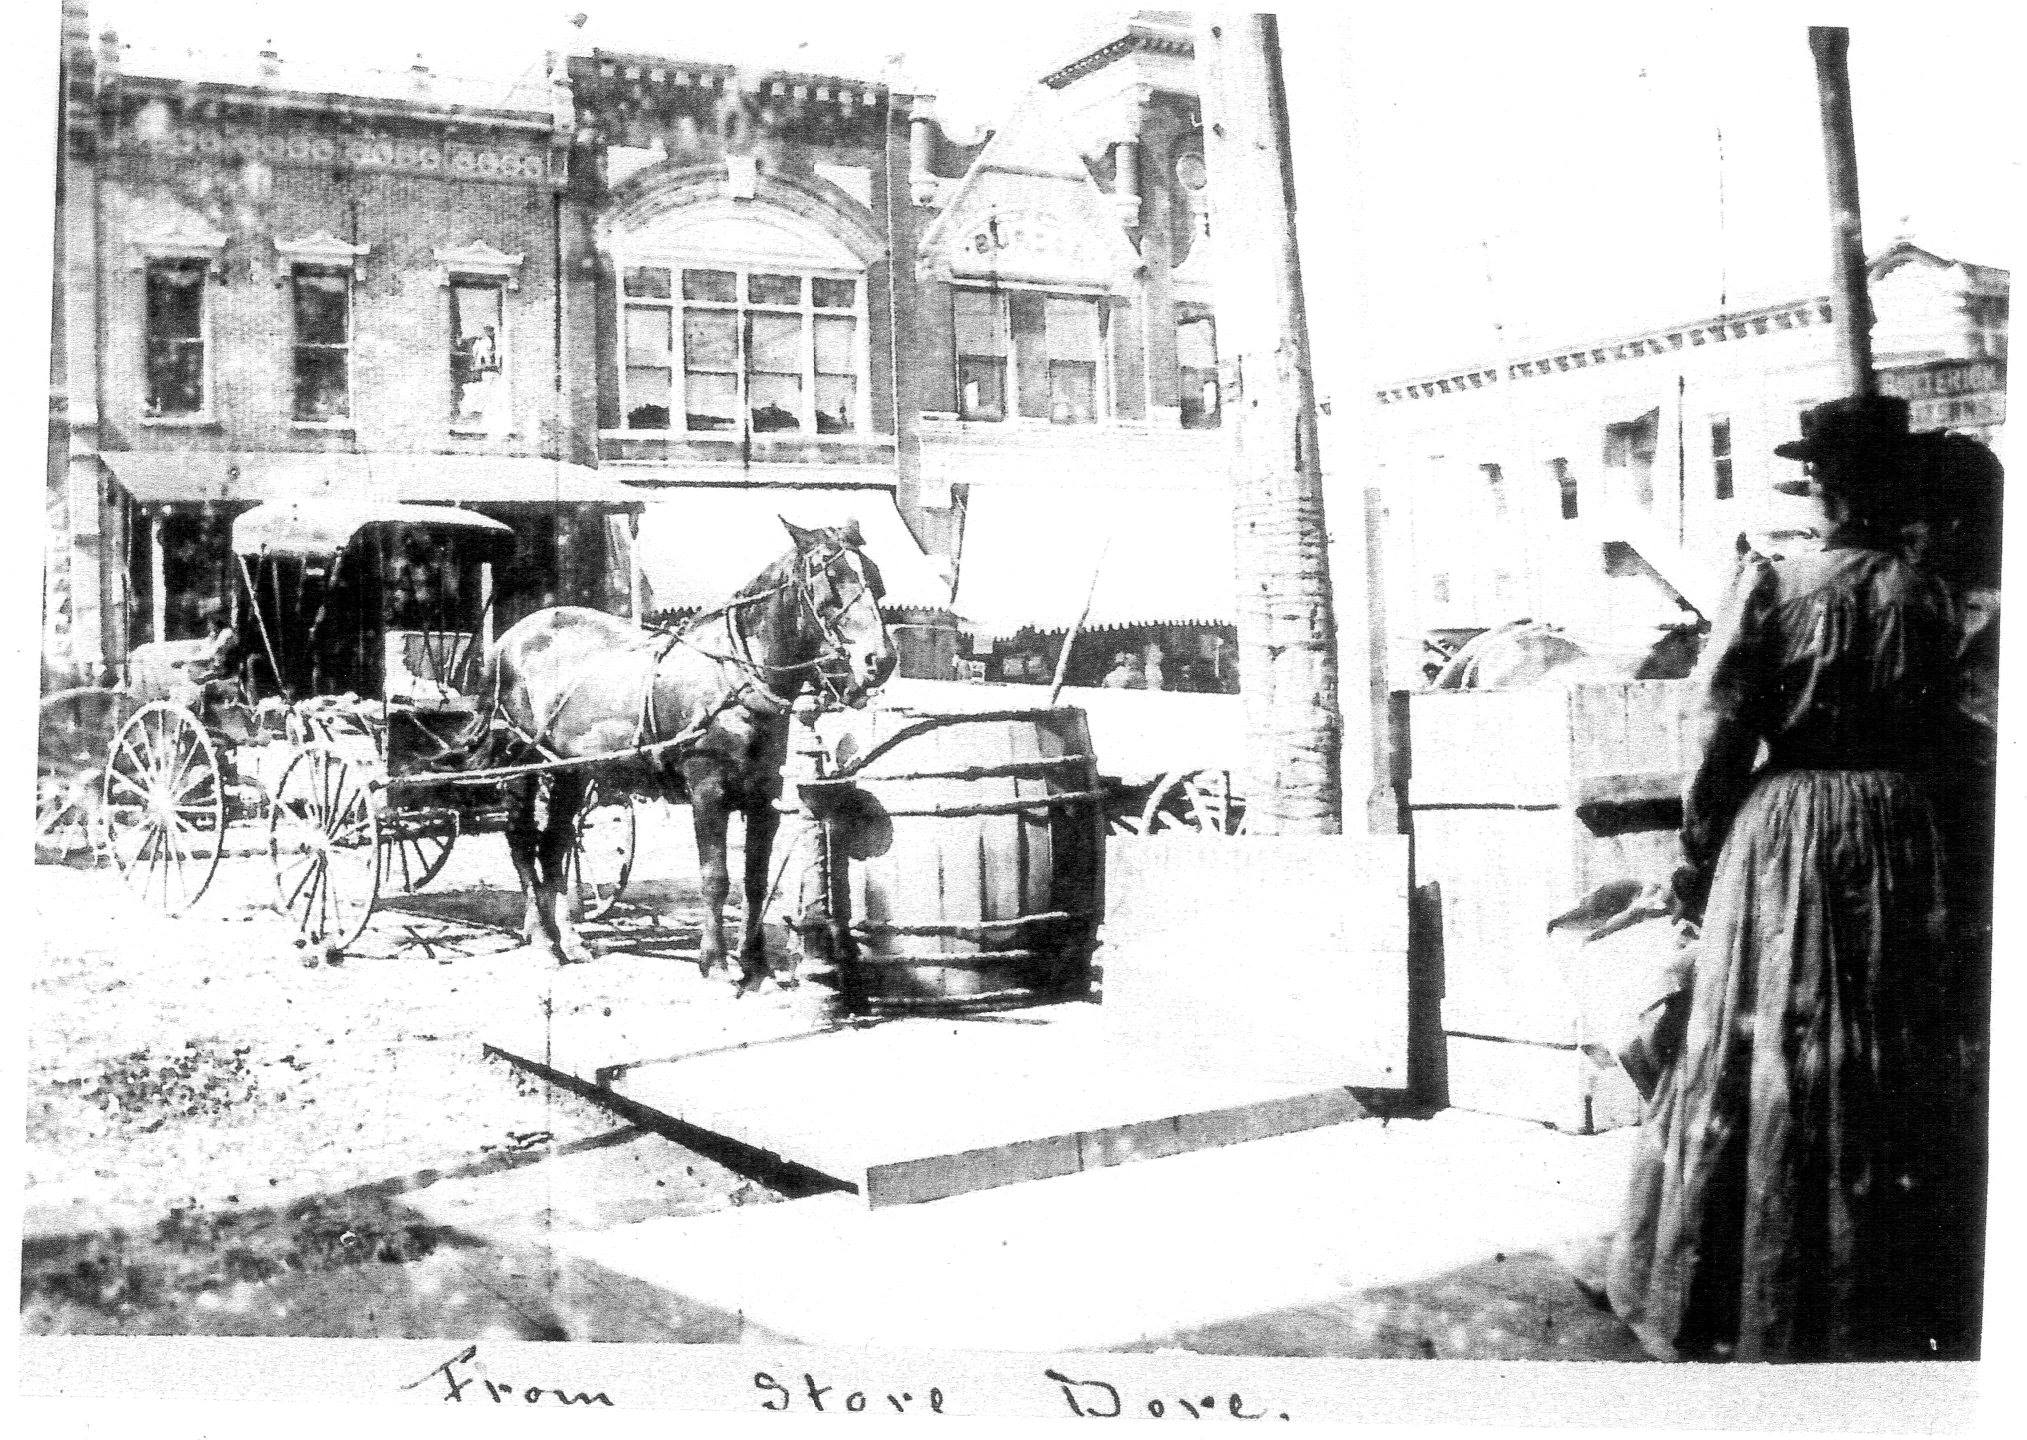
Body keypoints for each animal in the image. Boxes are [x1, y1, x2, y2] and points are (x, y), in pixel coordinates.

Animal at [472, 523, 895, 993]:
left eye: (874, 577)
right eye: (831, 576)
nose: (881, 660)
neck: (735, 678)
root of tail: (507, 642)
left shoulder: (763, 798)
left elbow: (754, 881)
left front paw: (757, 966)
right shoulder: (707, 792)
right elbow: (715, 879)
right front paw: (716, 963)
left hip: (570, 773)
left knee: (554, 846)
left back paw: (570, 941)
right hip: (522, 763)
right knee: (521, 840)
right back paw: (545, 943)